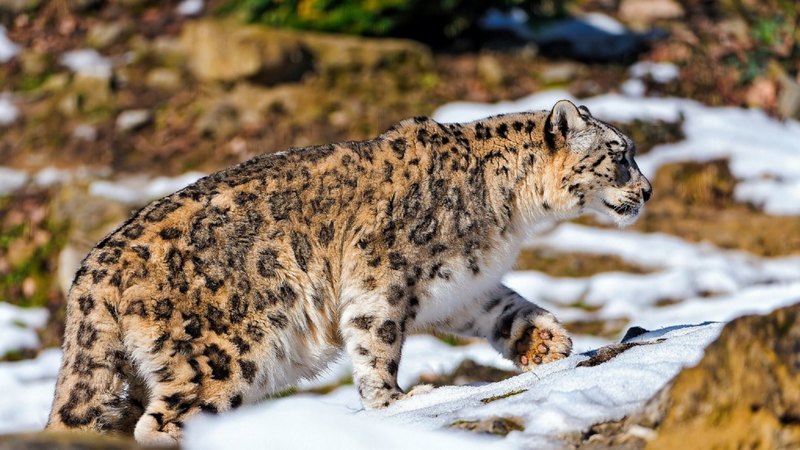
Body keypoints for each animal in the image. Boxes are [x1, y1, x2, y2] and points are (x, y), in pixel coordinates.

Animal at [46, 99, 651, 445]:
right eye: (619, 153)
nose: (647, 190)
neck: (509, 218)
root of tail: (92, 270)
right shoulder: (382, 277)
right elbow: (376, 340)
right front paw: (396, 402)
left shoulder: (460, 287)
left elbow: (504, 307)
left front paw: (546, 342)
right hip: (226, 354)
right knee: (163, 422)